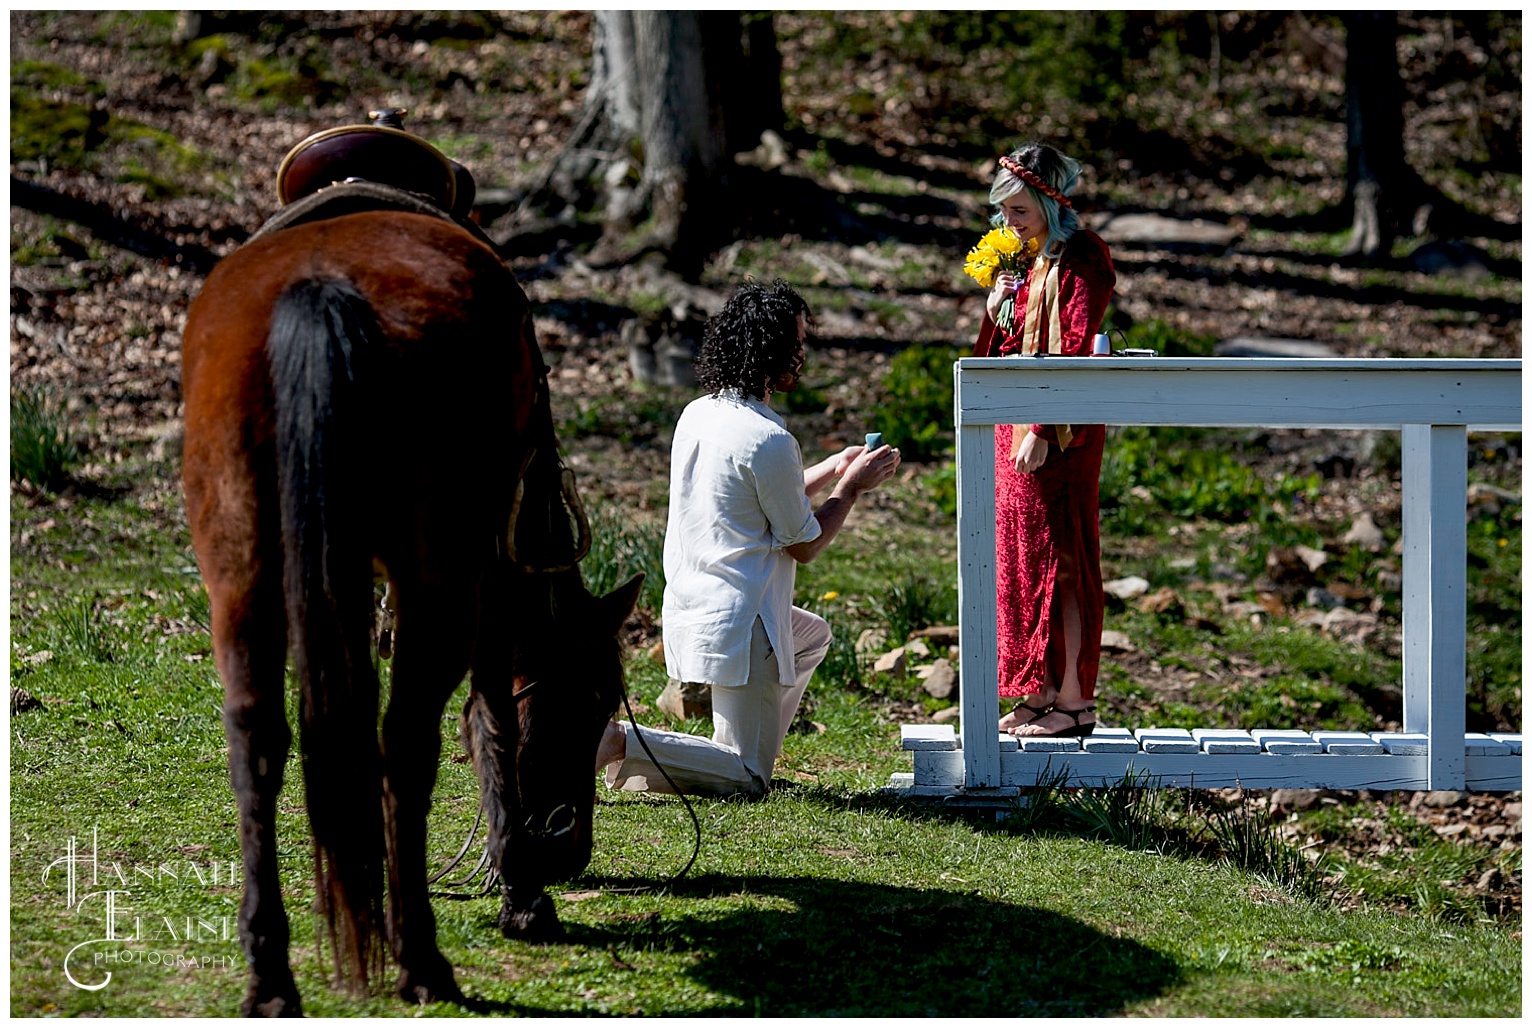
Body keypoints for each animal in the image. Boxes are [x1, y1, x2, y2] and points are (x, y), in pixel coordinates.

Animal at [179, 208, 640, 1011]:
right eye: (595, 702)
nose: (567, 850)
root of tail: (321, 287)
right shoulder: (492, 573)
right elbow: (492, 715)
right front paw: (520, 892)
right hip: (439, 584)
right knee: (405, 743)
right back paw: (420, 955)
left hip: (240, 576)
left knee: (257, 744)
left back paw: (271, 973)